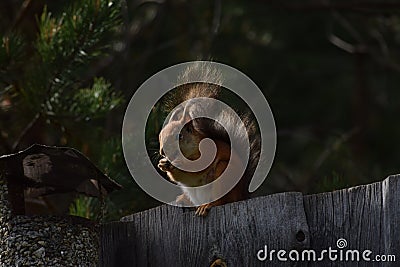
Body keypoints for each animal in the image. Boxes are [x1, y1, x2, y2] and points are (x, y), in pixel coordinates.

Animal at [158, 63, 260, 218]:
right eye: (160, 137)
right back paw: (182, 200)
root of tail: (241, 196)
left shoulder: (208, 150)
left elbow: (198, 166)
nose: (162, 152)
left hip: (223, 175)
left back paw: (207, 206)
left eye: (179, 136)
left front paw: (177, 164)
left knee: (220, 201)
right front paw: (163, 164)